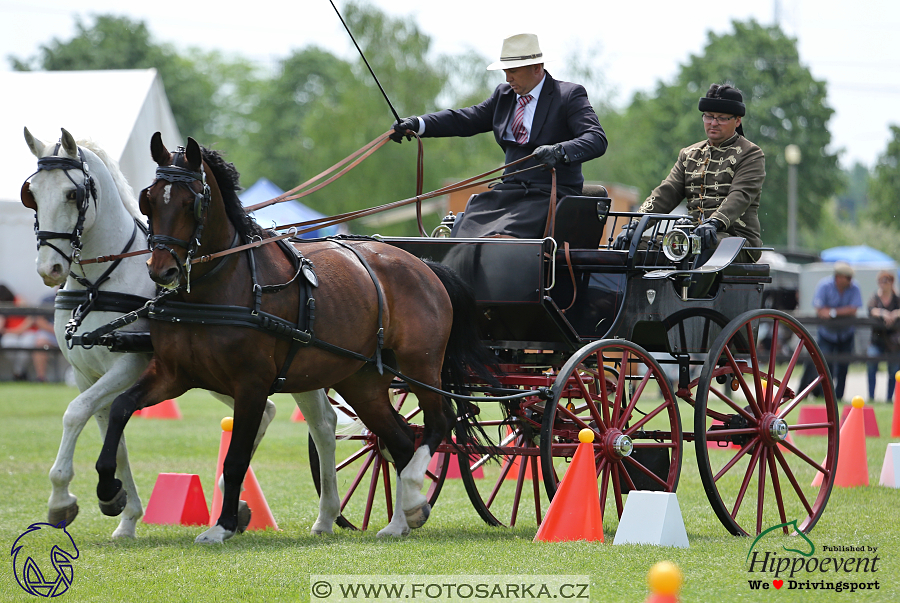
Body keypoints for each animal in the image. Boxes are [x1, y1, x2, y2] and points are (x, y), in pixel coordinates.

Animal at [23, 129, 342, 544]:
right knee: (273, 412)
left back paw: (326, 515)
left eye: (72, 194)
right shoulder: (86, 374)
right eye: (31, 193)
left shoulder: (129, 365)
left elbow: (76, 413)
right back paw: (239, 504)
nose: (50, 268)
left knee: (323, 425)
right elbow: (111, 432)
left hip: (296, 369)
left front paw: (62, 498)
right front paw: (124, 511)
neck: (100, 283)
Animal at [96, 133, 492, 544]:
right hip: (361, 381)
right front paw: (110, 491)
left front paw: (222, 525)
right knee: (397, 441)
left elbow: (236, 458)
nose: (162, 271)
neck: (218, 287)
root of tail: (423, 264)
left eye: (193, 203)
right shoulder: (174, 375)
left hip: (421, 364)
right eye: (149, 199)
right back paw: (399, 520)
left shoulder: (251, 384)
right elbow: (120, 408)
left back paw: (413, 495)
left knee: (438, 422)